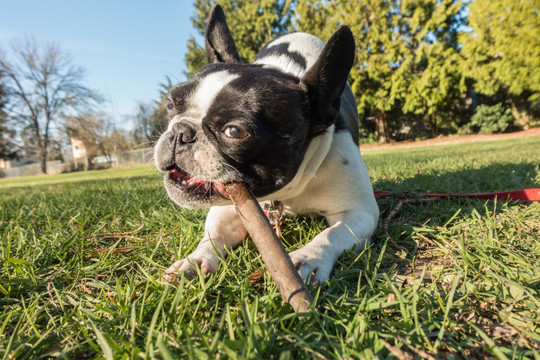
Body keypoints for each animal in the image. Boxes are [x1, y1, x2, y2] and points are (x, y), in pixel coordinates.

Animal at [154, 3, 378, 284]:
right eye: (170, 103)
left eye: (235, 131)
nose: (180, 132)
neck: (285, 195)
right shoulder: (228, 209)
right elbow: (214, 235)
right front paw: (195, 260)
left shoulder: (360, 211)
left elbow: (331, 234)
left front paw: (309, 258)